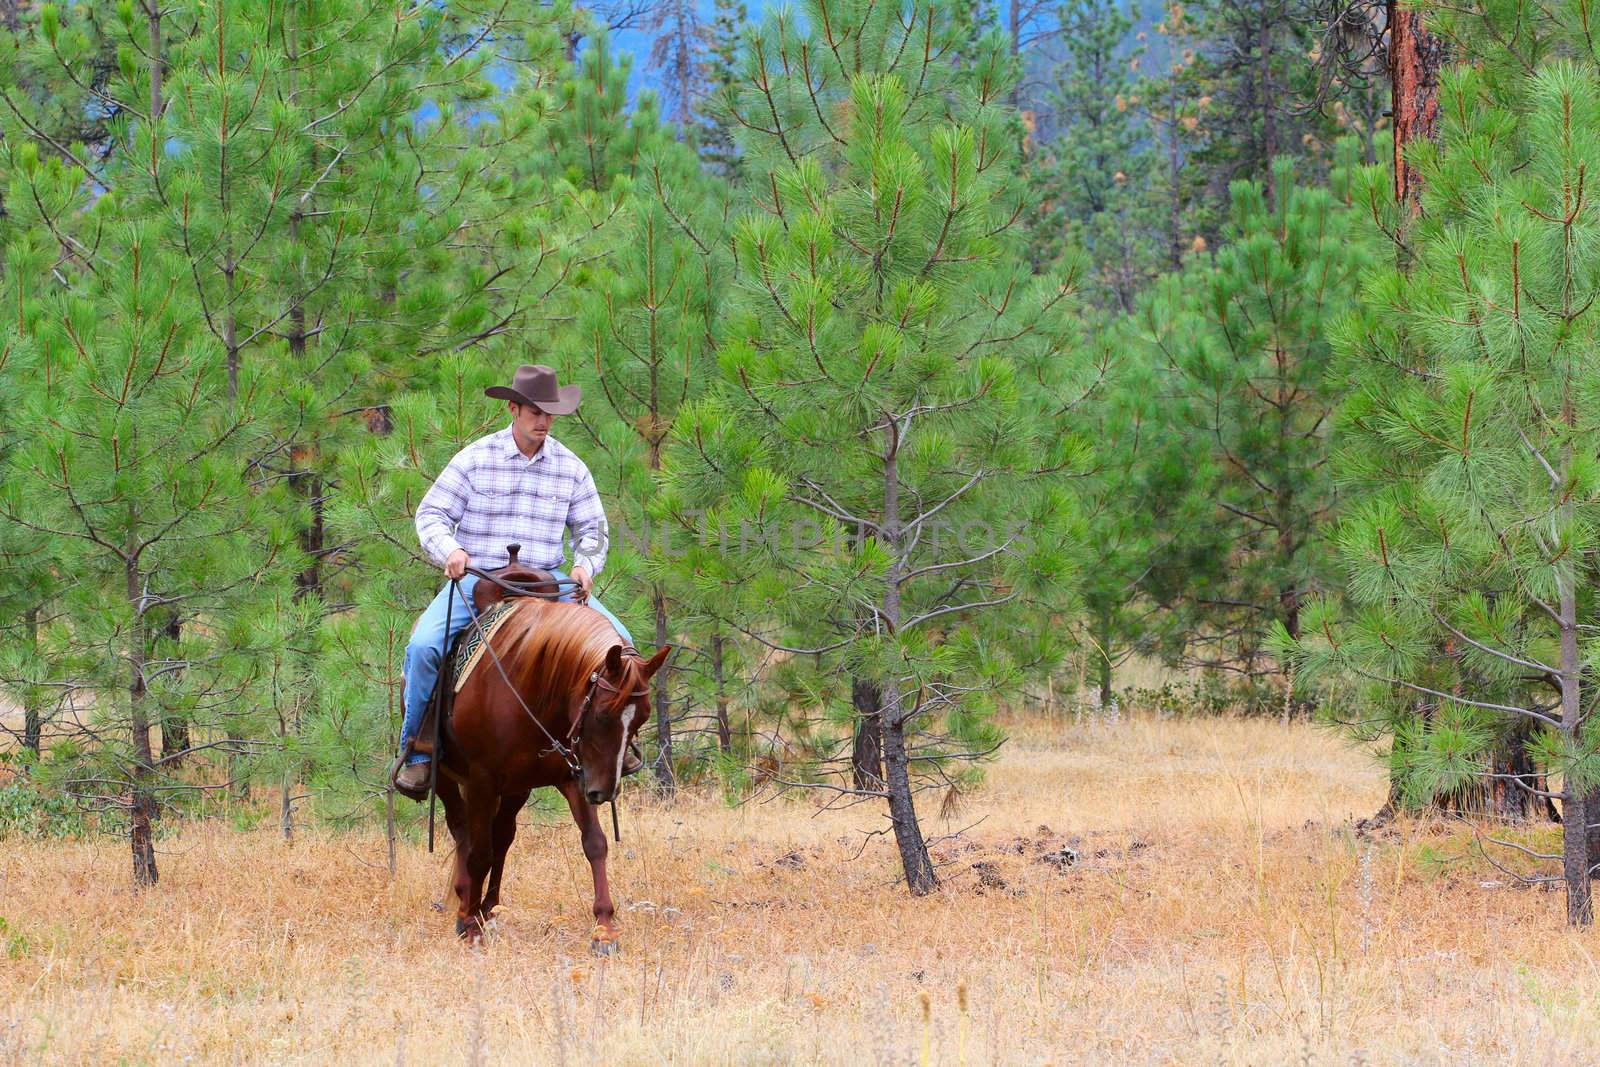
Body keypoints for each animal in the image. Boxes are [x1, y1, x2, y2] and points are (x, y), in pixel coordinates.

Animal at [432, 598, 668, 953]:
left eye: (641, 719)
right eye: (602, 714)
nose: (604, 792)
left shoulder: (574, 776)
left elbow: (595, 843)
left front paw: (604, 929)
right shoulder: (480, 781)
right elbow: (478, 852)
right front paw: (470, 927)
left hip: (516, 788)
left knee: (502, 836)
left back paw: (488, 909)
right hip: (448, 778)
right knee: (463, 832)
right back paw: (466, 907)